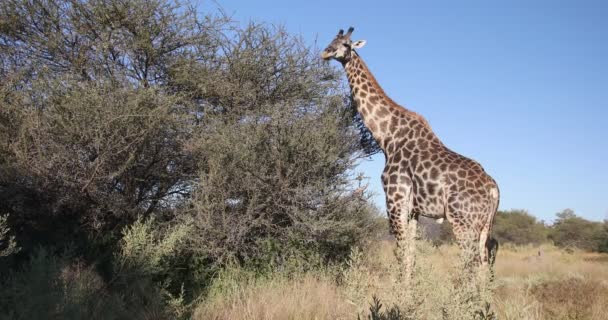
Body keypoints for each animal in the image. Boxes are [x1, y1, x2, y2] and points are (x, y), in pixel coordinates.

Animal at [320, 28, 502, 278]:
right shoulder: (414, 210)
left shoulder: (395, 200)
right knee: (483, 266)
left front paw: (400, 290)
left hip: (463, 222)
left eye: (346, 44)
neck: (387, 136)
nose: (325, 53)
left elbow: (402, 255)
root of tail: (493, 189)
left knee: (472, 265)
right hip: (484, 226)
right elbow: (411, 256)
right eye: (332, 40)